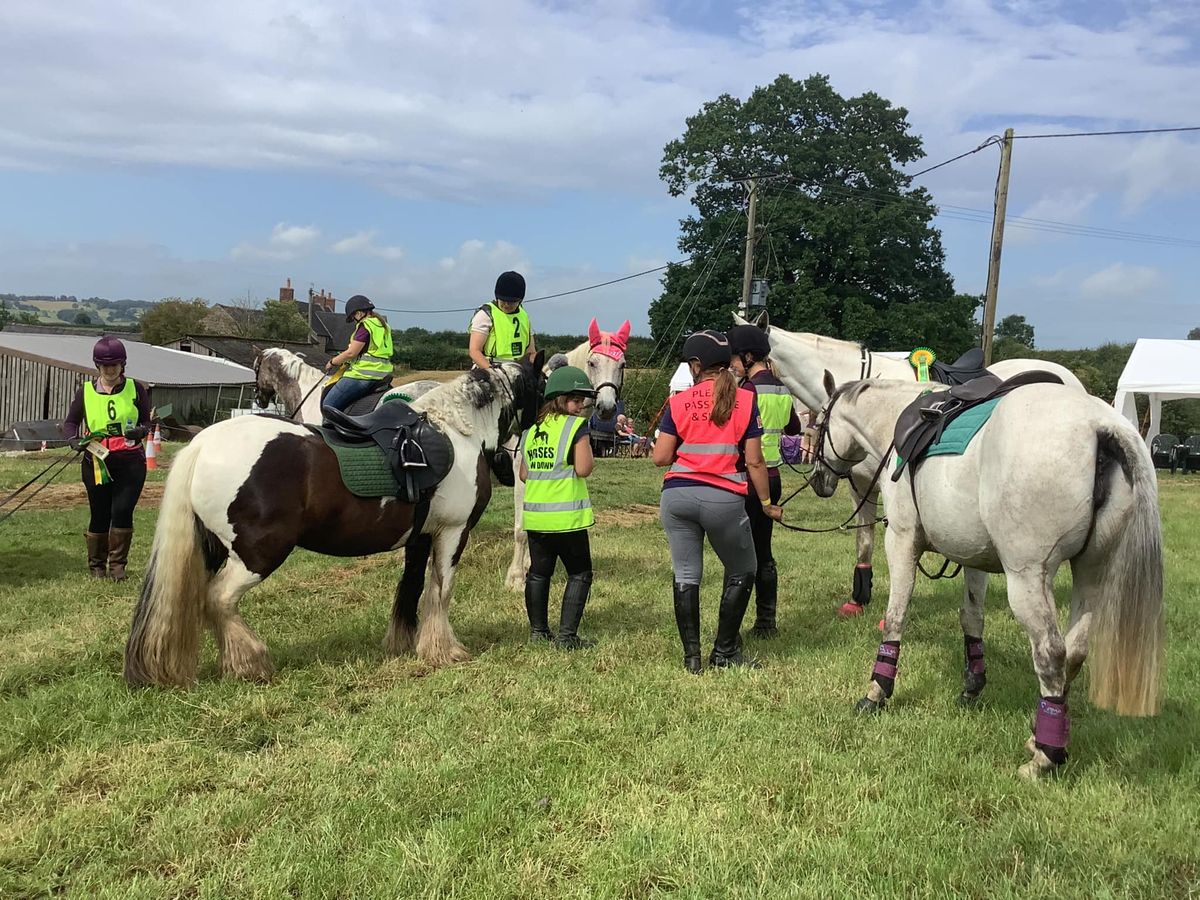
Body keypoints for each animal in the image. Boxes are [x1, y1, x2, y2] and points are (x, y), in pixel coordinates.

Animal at [124, 355, 547, 691]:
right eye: (542, 385)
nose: (527, 450)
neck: (457, 431)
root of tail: (202, 446)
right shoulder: (453, 532)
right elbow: (440, 590)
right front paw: (444, 650)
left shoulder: (421, 535)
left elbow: (412, 587)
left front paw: (405, 644)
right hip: (258, 554)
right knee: (219, 600)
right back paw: (251, 661)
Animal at [501, 321, 633, 595]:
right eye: (592, 363)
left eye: (622, 364)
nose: (606, 408)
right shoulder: (523, 476)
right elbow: (521, 529)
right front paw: (516, 578)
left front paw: (529, 568)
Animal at [811, 376, 1156, 777]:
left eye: (818, 421)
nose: (818, 479)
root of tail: (1102, 427)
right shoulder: (974, 557)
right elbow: (972, 618)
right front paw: (972, 685)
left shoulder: (900, 539)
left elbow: (896, 617)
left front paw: (877, 691)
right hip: (1091, 572)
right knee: (1074, 652)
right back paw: (1041, 736)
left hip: (1027, 578)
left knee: (1052, 653)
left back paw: (1044, 757)